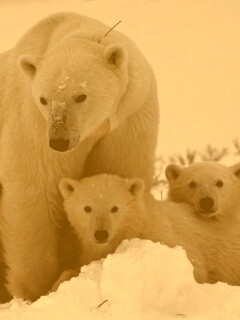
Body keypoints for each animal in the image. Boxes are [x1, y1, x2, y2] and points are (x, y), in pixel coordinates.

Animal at [0, 12, 159, 302]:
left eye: (81, 95)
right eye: (44, 99)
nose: (59, 141)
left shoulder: (128, 120)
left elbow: (118, 174)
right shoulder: (33, 125)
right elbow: (34, 193)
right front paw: (37, 289)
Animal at [51, 174, 240, 292]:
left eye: (114, 208)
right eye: (87, 208)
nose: (101, 234)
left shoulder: (166, 239)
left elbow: (194, 268)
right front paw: (56, 284)